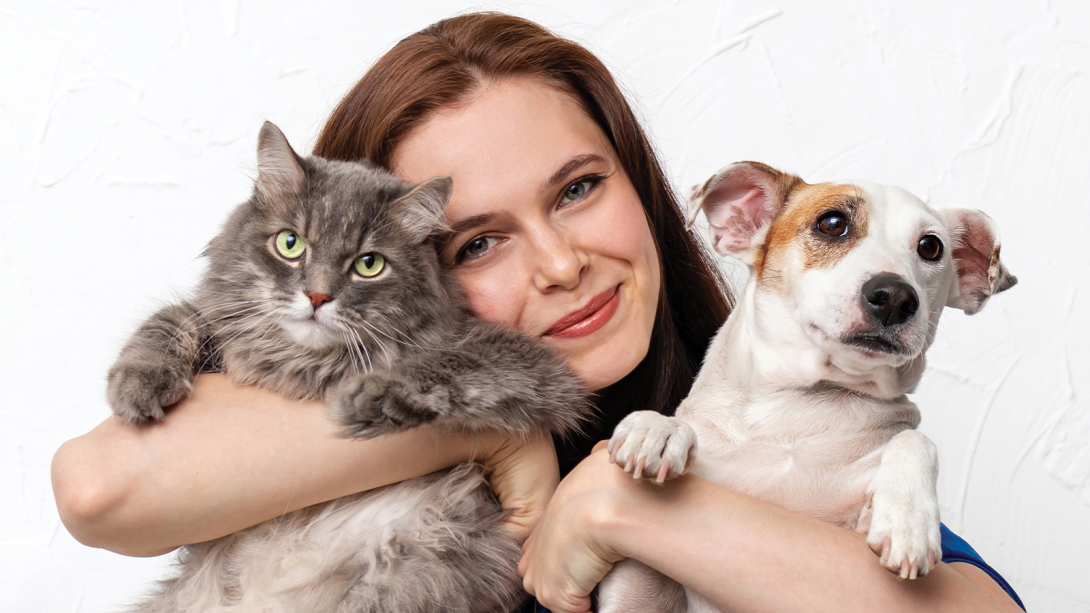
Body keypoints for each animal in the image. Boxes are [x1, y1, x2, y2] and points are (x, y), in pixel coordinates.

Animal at [106, 121, 592, 606]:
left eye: (368, 264)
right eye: (290, 244)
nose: (317, 296)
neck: (306, 365)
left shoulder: (533, 366)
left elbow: (448, 363)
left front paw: (370, 396)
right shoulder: (212, 323)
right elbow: (169, 322)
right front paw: (136, 384)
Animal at [597, 160, 1011, 606]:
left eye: (931, 247)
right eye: (832, 223)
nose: (895, 296)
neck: (797, 408)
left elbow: (916, 441)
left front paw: (908, 520)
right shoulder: (636, 579)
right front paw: (656, 429)